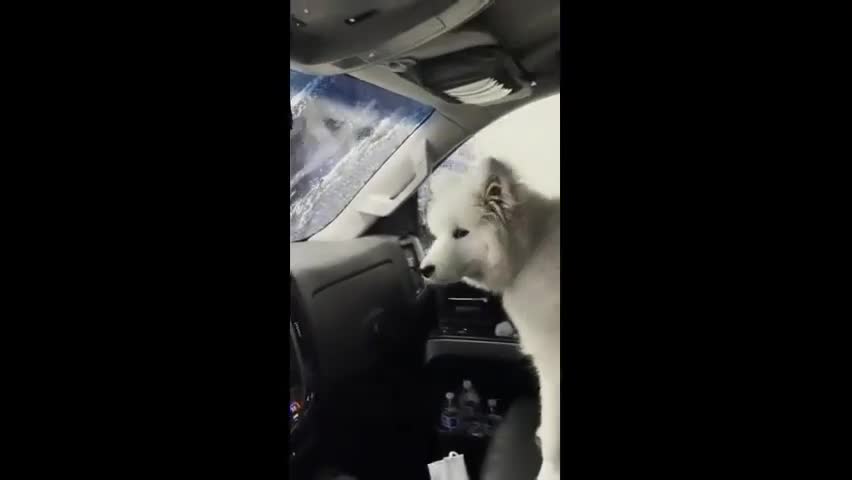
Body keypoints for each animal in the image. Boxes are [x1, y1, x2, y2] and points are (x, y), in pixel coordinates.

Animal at [420, 158, 560, 480]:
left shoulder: (553, 361)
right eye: (438, 233)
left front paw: (549, 470)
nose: (423, 270)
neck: (530, 250)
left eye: (461, 233)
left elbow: (554, 432)